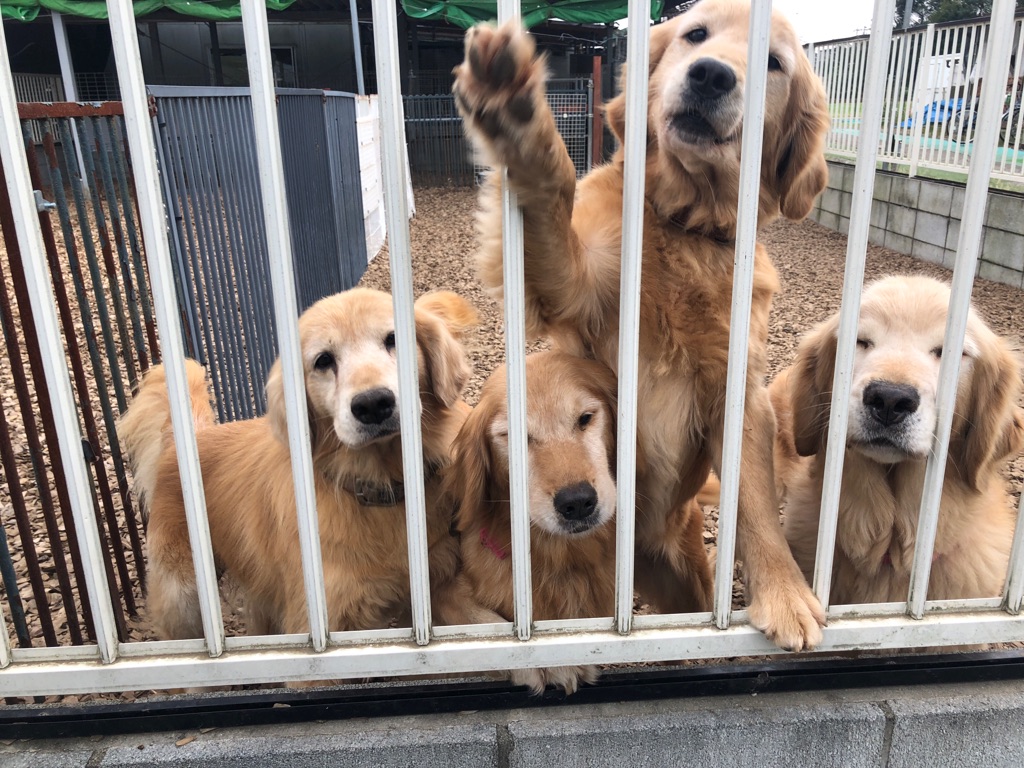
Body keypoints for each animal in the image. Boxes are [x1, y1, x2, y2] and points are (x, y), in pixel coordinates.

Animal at [119, 288, 478, 640]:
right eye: (323, 361)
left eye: (394, 339)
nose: (373, 404)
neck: (378, 488)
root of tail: (186, 440)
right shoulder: (316, 621)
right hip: (183, 600)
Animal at [453, 0, 830, 649]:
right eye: (696, 34)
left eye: (774, 63)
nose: (711, 75)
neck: (686, 226)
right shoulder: (572, 284)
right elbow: (552, 196)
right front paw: (517, 114)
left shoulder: (739, 390)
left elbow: (756, 500)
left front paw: (785, 593)